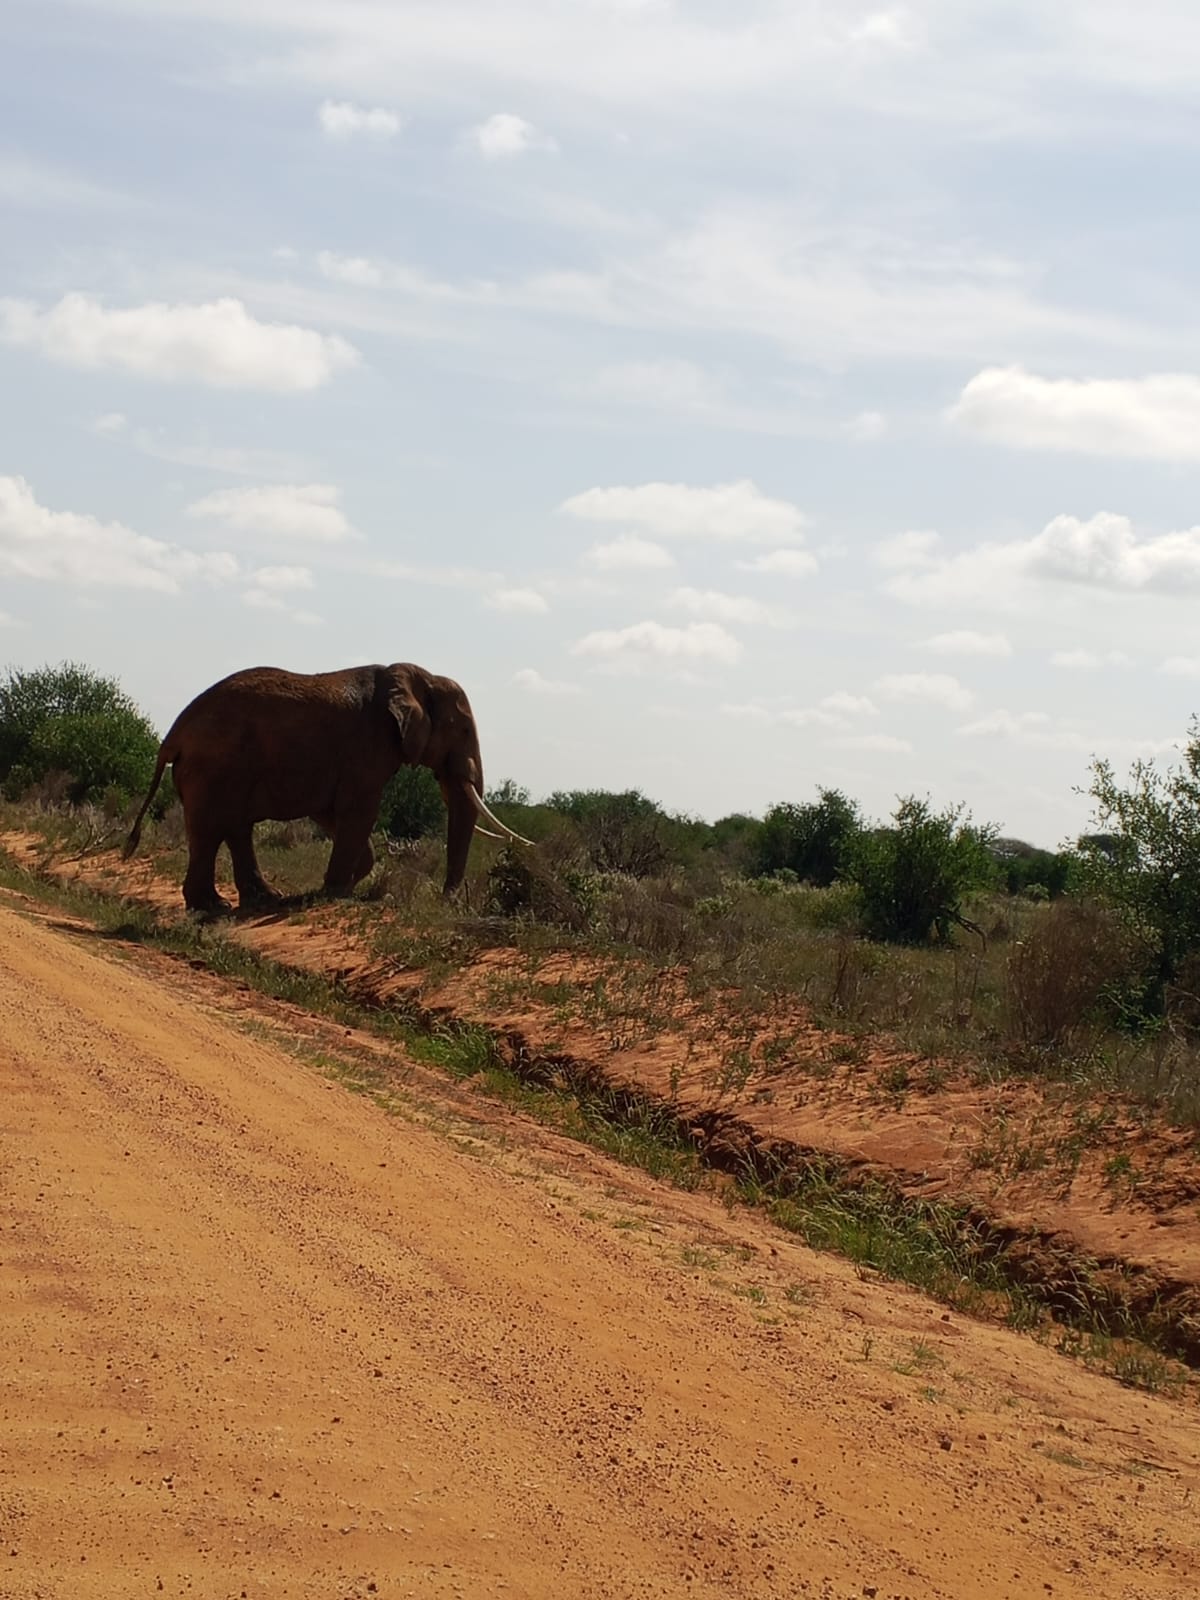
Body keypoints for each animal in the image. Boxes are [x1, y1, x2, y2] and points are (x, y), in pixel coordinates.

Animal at [123, 662, 527, 913]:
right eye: (464, 730)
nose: (446, 903)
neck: (417, 677)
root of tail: (173, 734)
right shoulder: (368, 745)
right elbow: (358, 810)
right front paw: (335, 894)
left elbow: (332, 812)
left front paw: (342, 887)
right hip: (213, 766)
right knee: (212, 829)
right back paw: (215, 906)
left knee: (234, 828)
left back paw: (263, 901)